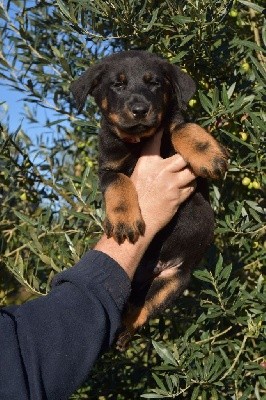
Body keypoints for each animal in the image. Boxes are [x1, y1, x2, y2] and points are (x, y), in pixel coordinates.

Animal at [70, 50, 229, 348]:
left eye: (154, 83)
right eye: (118, 84)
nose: (140, 110)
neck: (139, 141)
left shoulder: (172, 125)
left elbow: (181, 127)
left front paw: (208, 154)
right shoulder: (108, 170)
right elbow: (119, 183)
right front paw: (124, 221)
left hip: (172, 281)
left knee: (141, 309)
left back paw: (123, 332)